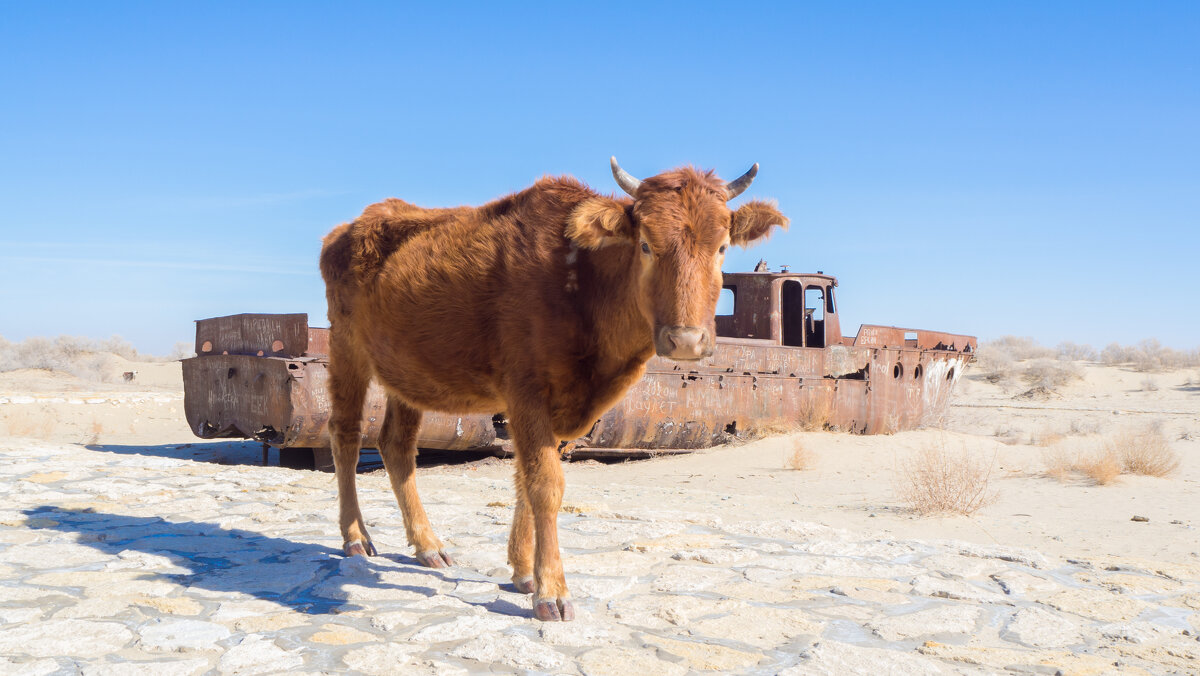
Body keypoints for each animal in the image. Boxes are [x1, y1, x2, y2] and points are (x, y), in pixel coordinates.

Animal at [319, 157, 787, 619]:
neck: (581, 280)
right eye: (646, 245)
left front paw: (524, 571)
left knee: (397, 446)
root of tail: (349, 227)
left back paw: (428, 545)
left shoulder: (560, 407)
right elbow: (545, 485)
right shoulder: (526, 393)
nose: (686, 341)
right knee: (346, 434)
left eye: (722, 247)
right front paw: (552, 592)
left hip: (406, 372)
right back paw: (355, 537)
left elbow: (526, 480)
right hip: (346, 350)